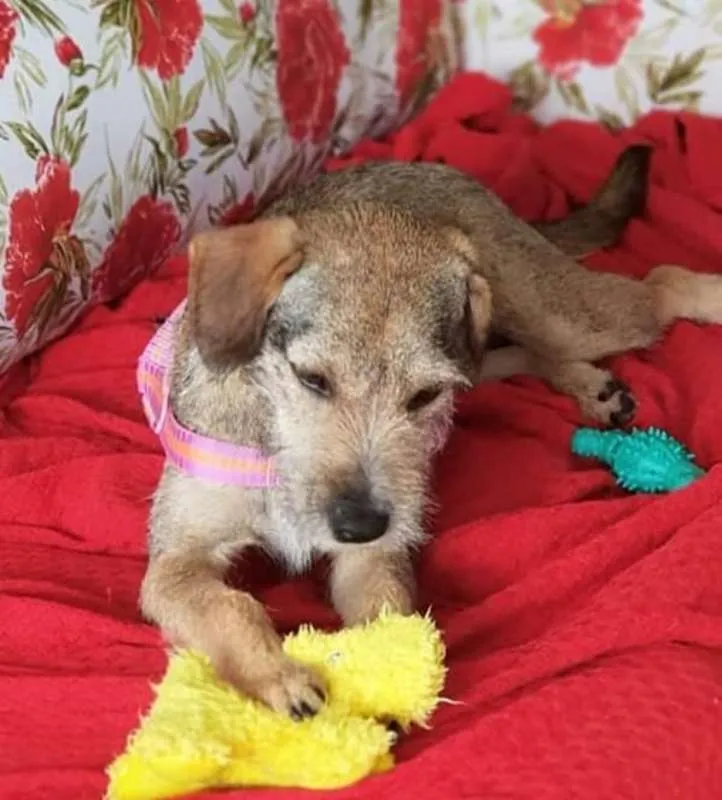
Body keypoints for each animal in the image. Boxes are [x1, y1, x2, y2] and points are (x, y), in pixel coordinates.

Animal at [139, 146, 722, 720]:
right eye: (311, 378)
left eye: (423, 396)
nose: (361, 524)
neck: (275, 452)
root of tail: (428, 169)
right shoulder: (175, 562)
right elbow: (223, 605)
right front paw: (278, 676)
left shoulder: (373, 556)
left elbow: (381, 608)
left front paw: (382, 671)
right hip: (489, 346)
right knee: (529, 349)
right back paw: (592, 386)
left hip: (558, 315)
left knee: (657, 283)